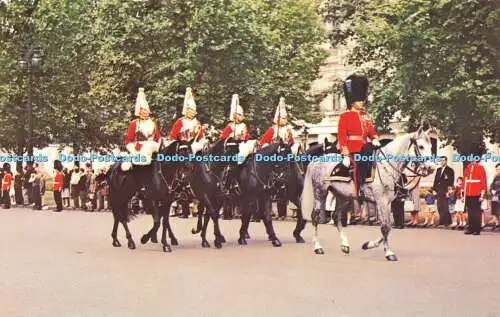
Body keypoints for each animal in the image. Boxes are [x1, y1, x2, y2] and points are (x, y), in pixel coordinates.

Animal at [300, 124, 438, 260]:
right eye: (421, 146)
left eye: (431, 146)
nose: (432, 168)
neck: (386, 166)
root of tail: (316, 160)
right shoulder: (381, 200)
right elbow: (385, 226)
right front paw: (388, 252)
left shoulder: (387, 202)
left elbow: (388, 225)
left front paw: (368, 245)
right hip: (320, 192)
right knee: (315, 216)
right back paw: (318, 247)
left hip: (343, 196)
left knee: (335, 216)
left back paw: (344, 244)